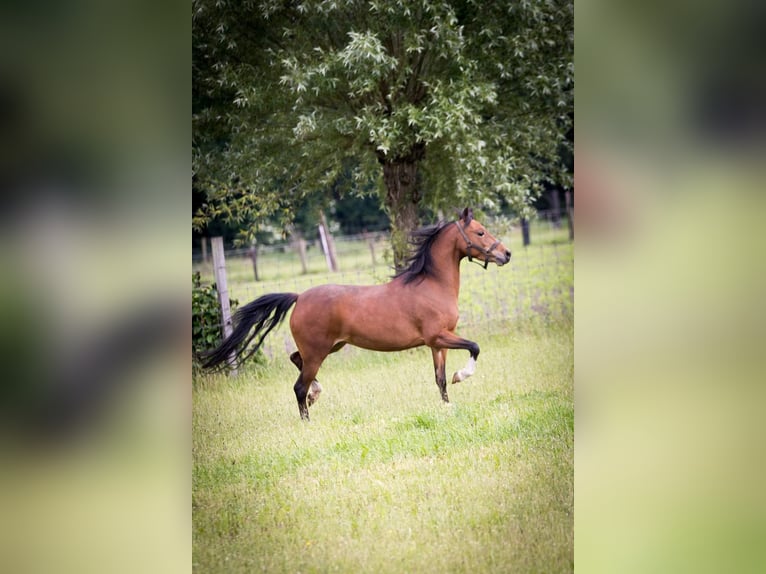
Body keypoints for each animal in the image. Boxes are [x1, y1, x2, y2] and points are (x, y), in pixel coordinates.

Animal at [204, 206, 512, 418]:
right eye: (480, 232)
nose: (506, 254)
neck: (432, 284)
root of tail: (299, 297)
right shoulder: (439, 336)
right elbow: (474, 347)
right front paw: (463, 375)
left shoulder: (438, 343)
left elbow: (440, 378)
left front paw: (448, 406)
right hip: (318, 351)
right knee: (299, 386)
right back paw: (307, 419)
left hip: (329, 347)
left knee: (296, 361)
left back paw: (316, 394)